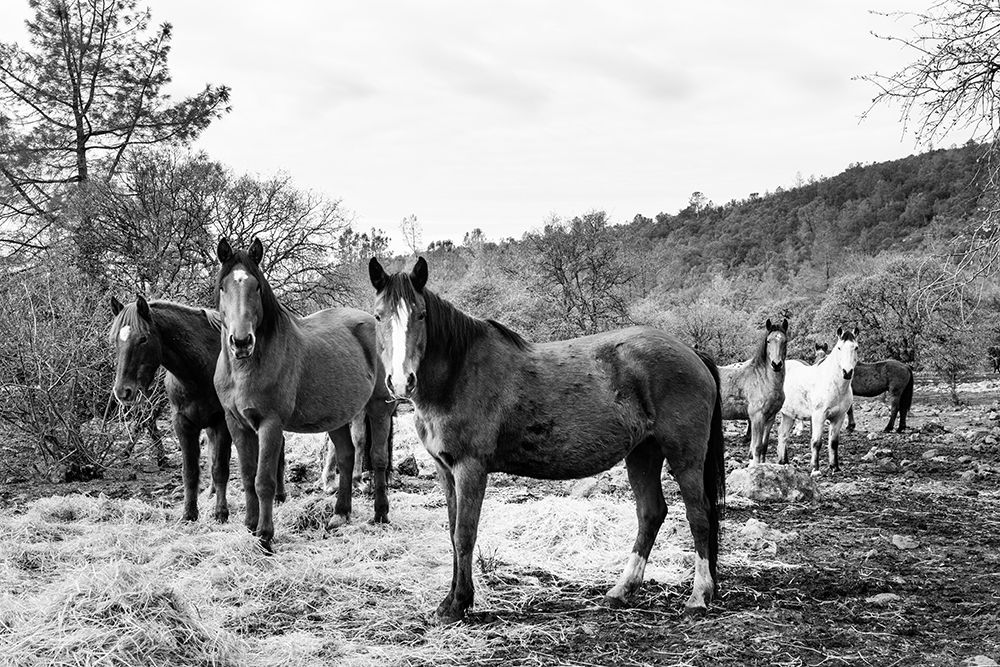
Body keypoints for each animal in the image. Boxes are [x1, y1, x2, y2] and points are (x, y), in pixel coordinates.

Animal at [109, 296, 287, 522]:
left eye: (143, 339)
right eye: (115, 339)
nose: (122, 391)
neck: (198, 372)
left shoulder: (222, 423)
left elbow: (220, 469)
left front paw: (221, 513)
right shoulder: (183, 424)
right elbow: (191, 471)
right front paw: (189, 513)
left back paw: (279, 495)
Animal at [213, 237, 395, 551]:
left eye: (256, 286)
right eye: (224, 286)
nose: (241, 342)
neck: (247, 367)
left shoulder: (270, 425)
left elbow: (264, 481)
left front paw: (265, 536)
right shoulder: (236, 424)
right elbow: (247, 477)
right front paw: (249, 526)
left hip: (379, 406)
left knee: (379, 457)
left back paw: (380, 515)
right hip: (336, 417)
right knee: (346, 456)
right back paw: (340, 514)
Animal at [368, 256, 726, 623]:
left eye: (421, 314)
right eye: (379, 315)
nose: (401, 382)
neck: (459, 374)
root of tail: (692, 353)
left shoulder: (470, 469)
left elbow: (464, 534)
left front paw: (459, 604)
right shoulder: (446, 470)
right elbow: (453, 535)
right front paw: (449, 602)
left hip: (685, 457)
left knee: (699, 515)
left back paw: (698, 596)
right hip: (643, 453)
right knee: (651, 514)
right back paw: (622, 590)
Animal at [720, 319, 788, 465]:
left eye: (784, 341)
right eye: (768, 341)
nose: (776, 364)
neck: (762, 380)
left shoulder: (770, 418)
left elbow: (764, 446)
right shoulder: (757, 417)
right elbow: (756, 446)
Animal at [777, 327, 859, 474]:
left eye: (856, 347)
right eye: (839, 347)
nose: (847, 372)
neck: (832, 383)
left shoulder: (839, 417)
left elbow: (833, 443)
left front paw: (835, 467)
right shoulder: (818, 416)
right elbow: (816, 442)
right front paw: (815, 468)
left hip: (788, 414)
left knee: (783, 434)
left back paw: (783, 462)